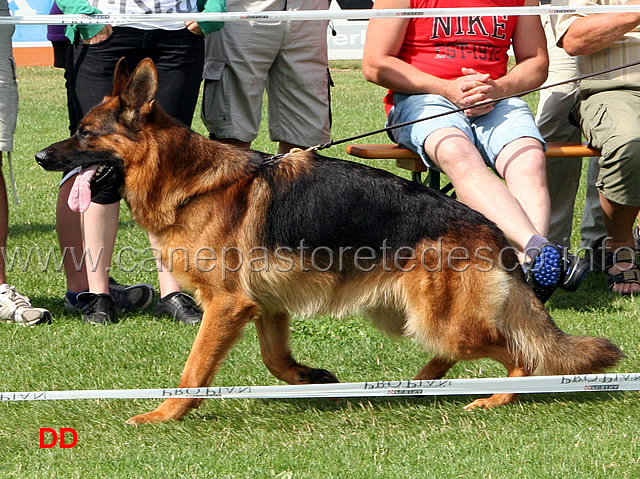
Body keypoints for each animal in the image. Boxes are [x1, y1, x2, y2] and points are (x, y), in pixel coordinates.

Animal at [36, 59, 624, 424]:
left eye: (85, 133)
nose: (41, 157)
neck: (189, 181)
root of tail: (491, 229)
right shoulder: (263, 307)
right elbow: (274, 360)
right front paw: (310, 376)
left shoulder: (226, 306)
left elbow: (194, 369)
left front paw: (165, 414)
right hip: (404, 314)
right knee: (458, 354)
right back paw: (413, 387)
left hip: (438, 320)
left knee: (519, 353)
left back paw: (496, 397)